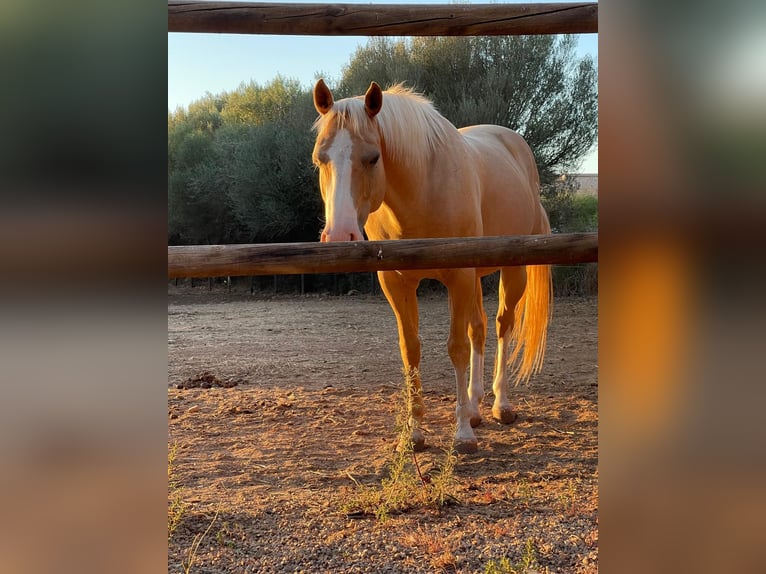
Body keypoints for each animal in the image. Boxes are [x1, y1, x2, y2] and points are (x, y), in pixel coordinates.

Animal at [311, 79, 552, 454]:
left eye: (373, 157)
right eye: (320, 158)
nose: (339, 235)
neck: (422, 191)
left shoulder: (458, 276)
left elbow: (457, 348)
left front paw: (462, 435)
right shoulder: (397, 283)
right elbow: (411, 349)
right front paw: (414, 432)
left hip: (511, 272)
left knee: (502, 326)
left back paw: (500, 405)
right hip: (475, 277)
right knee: (480, 328)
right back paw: (474, 406)